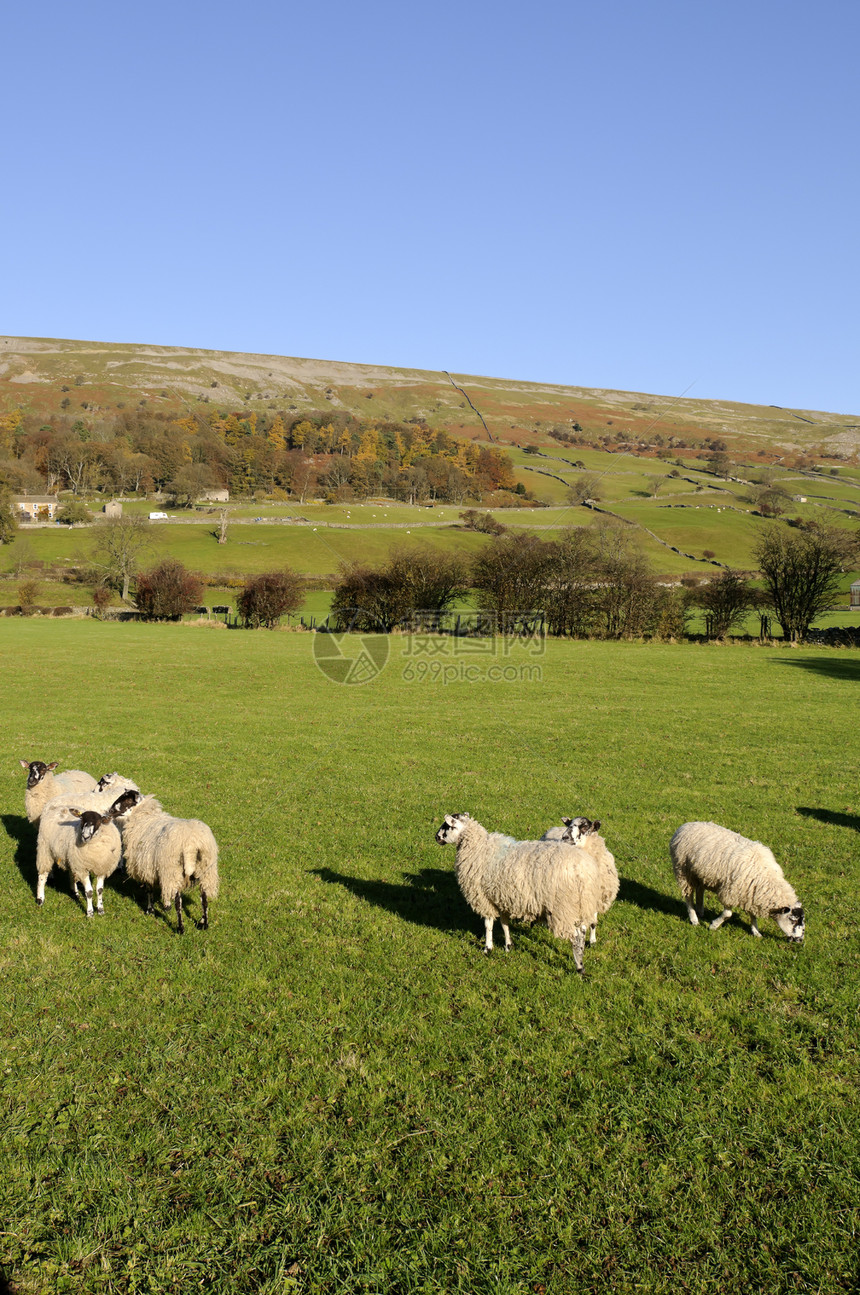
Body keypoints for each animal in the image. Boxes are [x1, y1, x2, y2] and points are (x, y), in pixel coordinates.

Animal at [33, 782, 141, 916]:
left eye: (98, 822)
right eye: (82, 820)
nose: (85, 836)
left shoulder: (99, 866)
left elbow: (99, 889)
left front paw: (100, 909)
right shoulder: (83, 867)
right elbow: (89, 891)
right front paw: (90, 912)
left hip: (70, 857)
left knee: (71, 873)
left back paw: (75, 893)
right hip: (45, 850)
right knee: (42, 875)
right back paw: (40, 898)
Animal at [430, 808, 603, 973]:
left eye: (447, 826)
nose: (436, 837)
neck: (477, 847)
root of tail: (584, 869)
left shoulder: (484, 898)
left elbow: (488, 924)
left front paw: (488, 948)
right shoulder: (502, 897)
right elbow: (504, 923)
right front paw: (508, 946)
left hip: (563, 906)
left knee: (576, 936)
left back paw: (579, 966)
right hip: (580, 904)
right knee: (582, 931)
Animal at [668, 823, 803, 947]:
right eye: (793, 920)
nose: (800, 940)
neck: (766, 878)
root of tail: (685, 825)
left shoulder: (750, 893)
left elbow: (753, 915)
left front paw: (756, 932)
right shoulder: (730, 892)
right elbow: (728, 914)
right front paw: (713, 926)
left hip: (700, 873)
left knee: (700, 890)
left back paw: (700, 911)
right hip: (683, 871)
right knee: (688, 896)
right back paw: (694, 919)